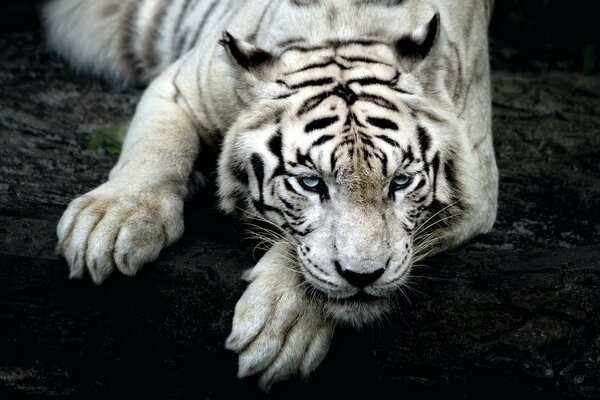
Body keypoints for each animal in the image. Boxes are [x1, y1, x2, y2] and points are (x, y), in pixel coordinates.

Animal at [44, 0, 500, 390]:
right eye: (312, 183)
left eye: (400, 182)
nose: (364, 277)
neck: (342, 28)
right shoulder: (179, 87)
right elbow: (154, 150)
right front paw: (108, 225)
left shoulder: (478, 187)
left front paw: (280, 327)